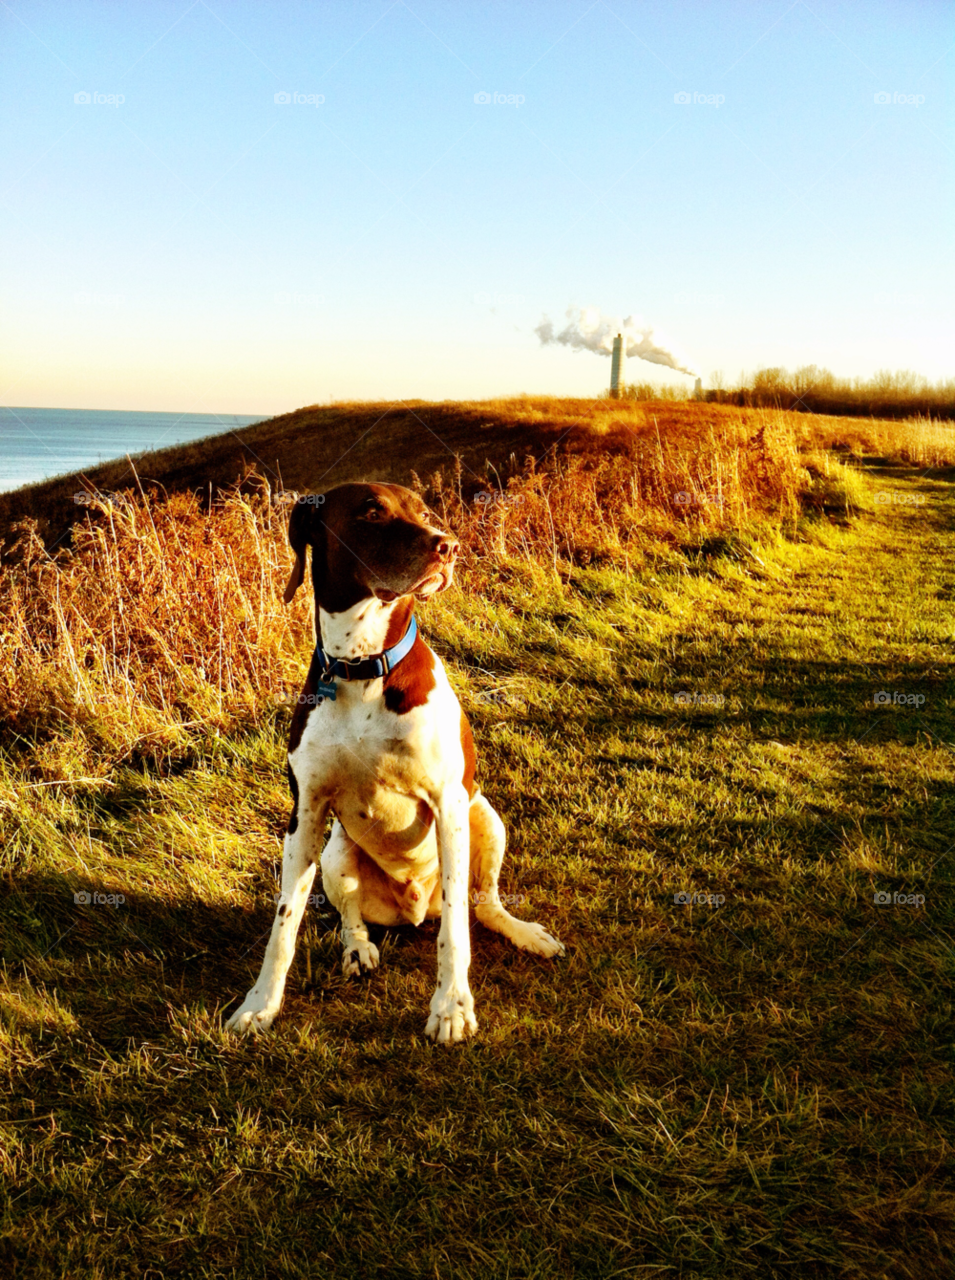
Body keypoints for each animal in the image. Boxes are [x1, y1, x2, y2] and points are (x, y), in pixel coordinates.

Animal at [226, 478, 560, 1039]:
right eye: (371, 511)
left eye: (424, 511)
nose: (449, 546)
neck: (362, 665)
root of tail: (413, 910)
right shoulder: (305, 814)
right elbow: (285, 922)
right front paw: (259, 1004)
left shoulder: (449, 804)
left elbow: (456, 931)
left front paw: (451, 1007)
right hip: (336, 850)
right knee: (350, 916)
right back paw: (358, 948)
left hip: (484, 816)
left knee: (481, 905)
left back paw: (525, 932)